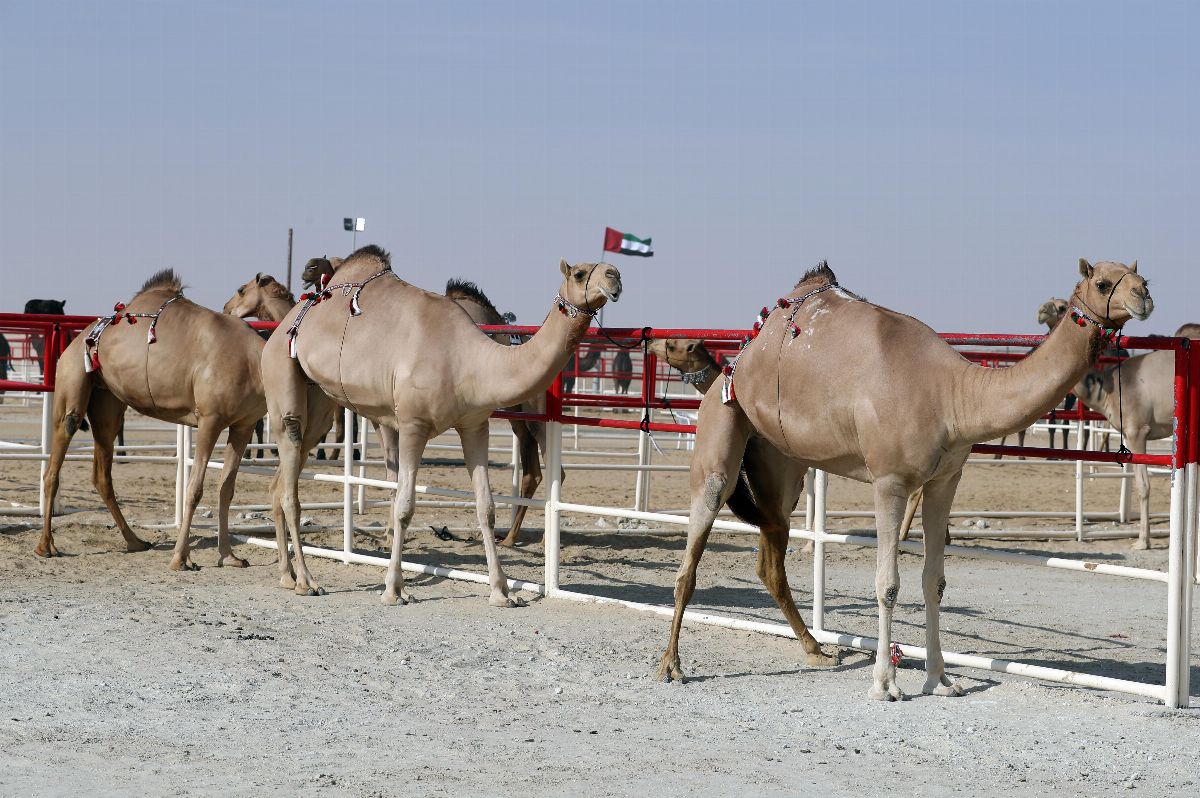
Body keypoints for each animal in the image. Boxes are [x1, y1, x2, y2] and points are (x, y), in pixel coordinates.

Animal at [38, 271, 267, 568]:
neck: (254, 361)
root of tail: (80, 338)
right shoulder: (210, 418)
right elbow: (194, 489)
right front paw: (180, 559)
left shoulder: (243, 424)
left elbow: (226, 489)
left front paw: (229, 557)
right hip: (72, 377)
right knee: (57, 455)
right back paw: (46, 546)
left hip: (107, 402)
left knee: (102, 472)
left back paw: (135, 541)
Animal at [260, 246, 619, 600]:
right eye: (580, 274)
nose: (614, 276)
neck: (470, 360)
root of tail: (284, 324)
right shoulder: (411, 423)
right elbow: (404, 506)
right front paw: (394, 589)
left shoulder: (475, 425)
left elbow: (486, 508)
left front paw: (501, 591)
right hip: (281, 369)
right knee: (291, 478)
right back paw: (307, 581)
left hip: (319, 398)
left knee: (282, 480)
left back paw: (286, 575)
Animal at [657, 260, 1152, 696]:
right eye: (1104, 283)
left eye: (1140, 275)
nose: (1144, 296)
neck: (952, 394)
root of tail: (739, 358)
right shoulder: (889, 481)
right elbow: (888, 585)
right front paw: (885, 684)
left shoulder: (945, 480)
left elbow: (934, 581)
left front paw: (941, 680)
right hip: (724, 418)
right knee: (698, 541)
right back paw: (671, 664)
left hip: (782, 464)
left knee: (771, 557)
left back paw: (816, 649)